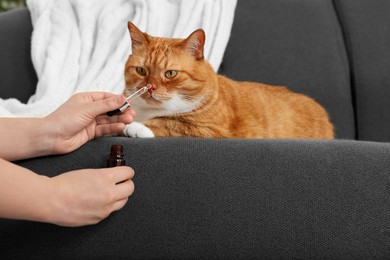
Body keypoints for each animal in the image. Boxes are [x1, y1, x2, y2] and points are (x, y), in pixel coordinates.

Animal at [123, 21, 334, 140]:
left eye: (171, 74)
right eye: (141, 70)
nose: (150, 88)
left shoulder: (211, 129)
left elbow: (169, 123)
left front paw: (137, 126)